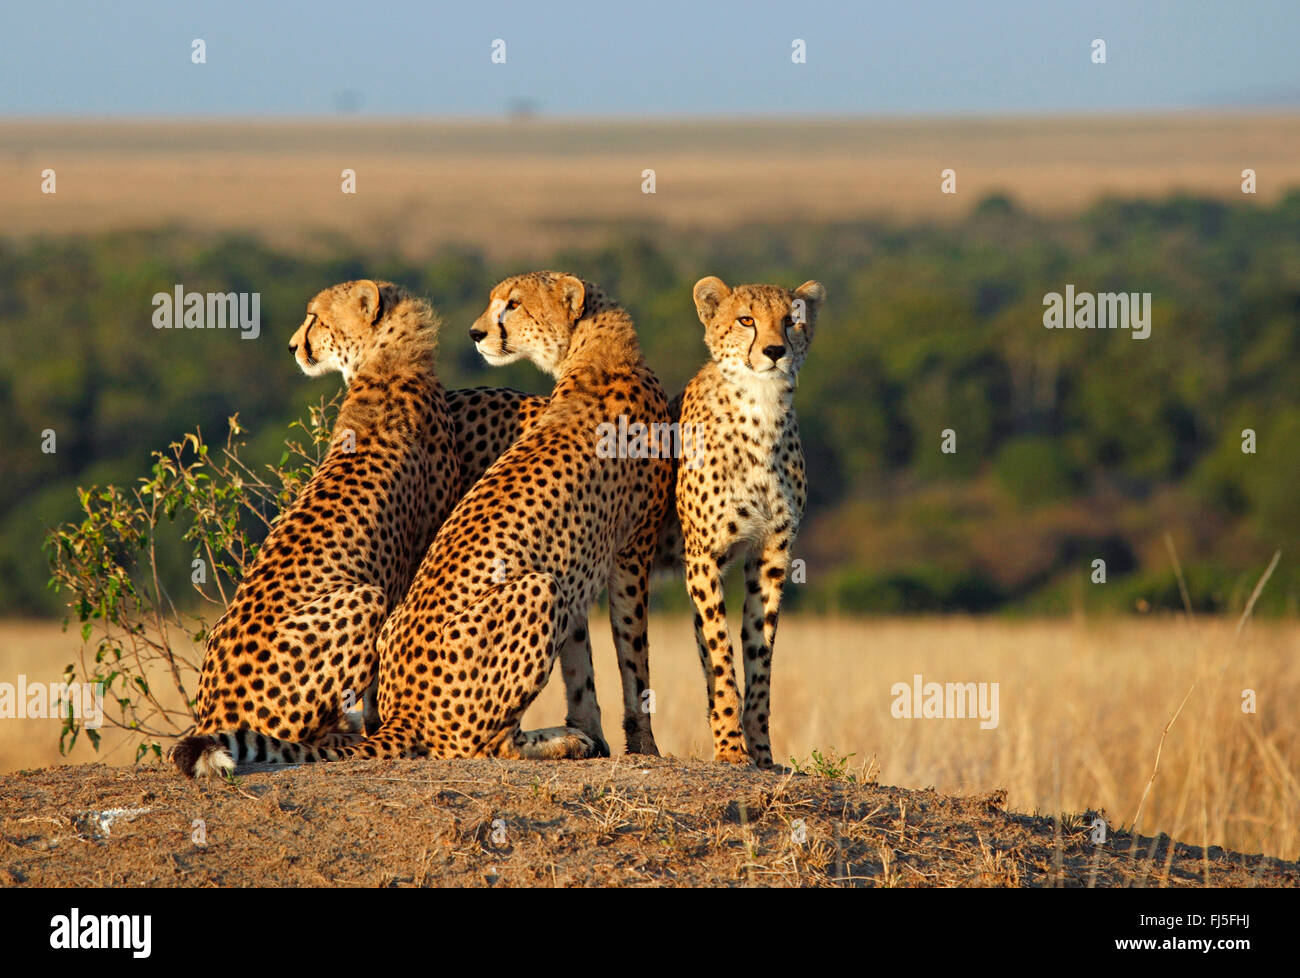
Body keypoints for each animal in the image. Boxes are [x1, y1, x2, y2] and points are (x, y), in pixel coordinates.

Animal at [175, 271, 670, 775]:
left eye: (512, 304)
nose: (477, 333)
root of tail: (407, 713)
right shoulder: (629, 552)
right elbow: (633, 663)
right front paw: (638, 746)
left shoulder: (587, 561)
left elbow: (583, 666)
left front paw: (603, 736)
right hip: (519, 590)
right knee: (481, 744)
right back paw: (560, 742)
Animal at [676, 273, 826, 764]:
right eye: (746, 320)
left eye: (791, 320)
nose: (775, 351)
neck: (760, 409)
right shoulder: (703, 555)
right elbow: (721, 652)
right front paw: (730, 747)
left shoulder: (772, 552)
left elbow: (759, 652)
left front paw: (760, 749)